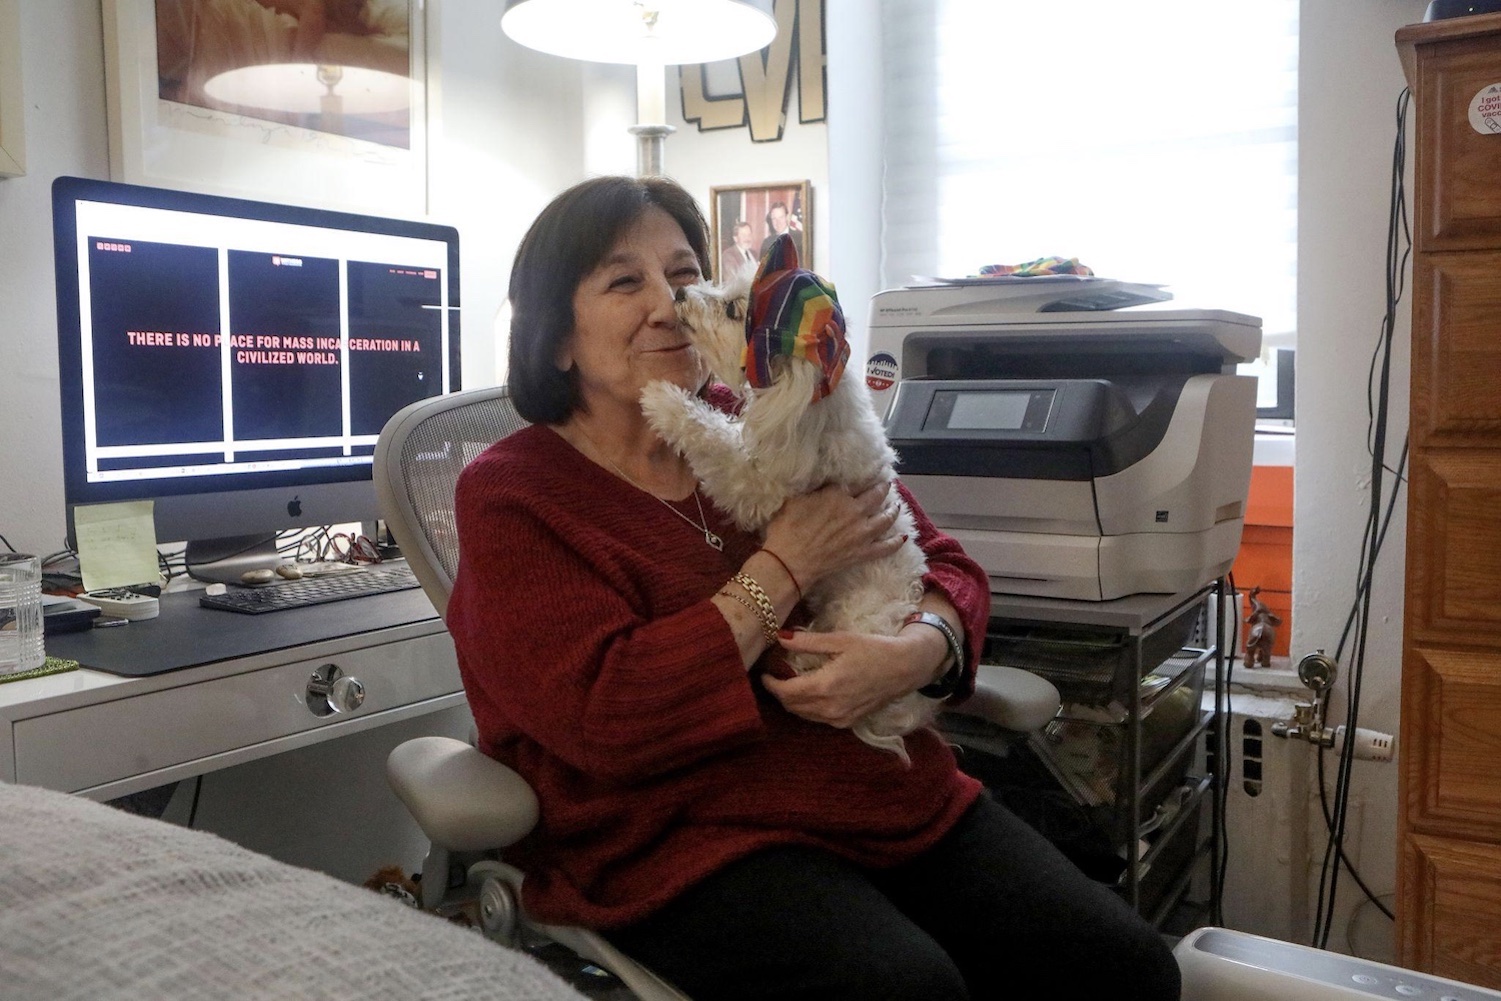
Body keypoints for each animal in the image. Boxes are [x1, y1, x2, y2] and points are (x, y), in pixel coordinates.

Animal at [642, 237, 936, 768]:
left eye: (733, 309)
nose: (681, 293)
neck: (811, 411)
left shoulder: (760, 487)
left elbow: (712, 437)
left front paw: (662, 400)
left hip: (857, 623)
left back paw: (803, 657)